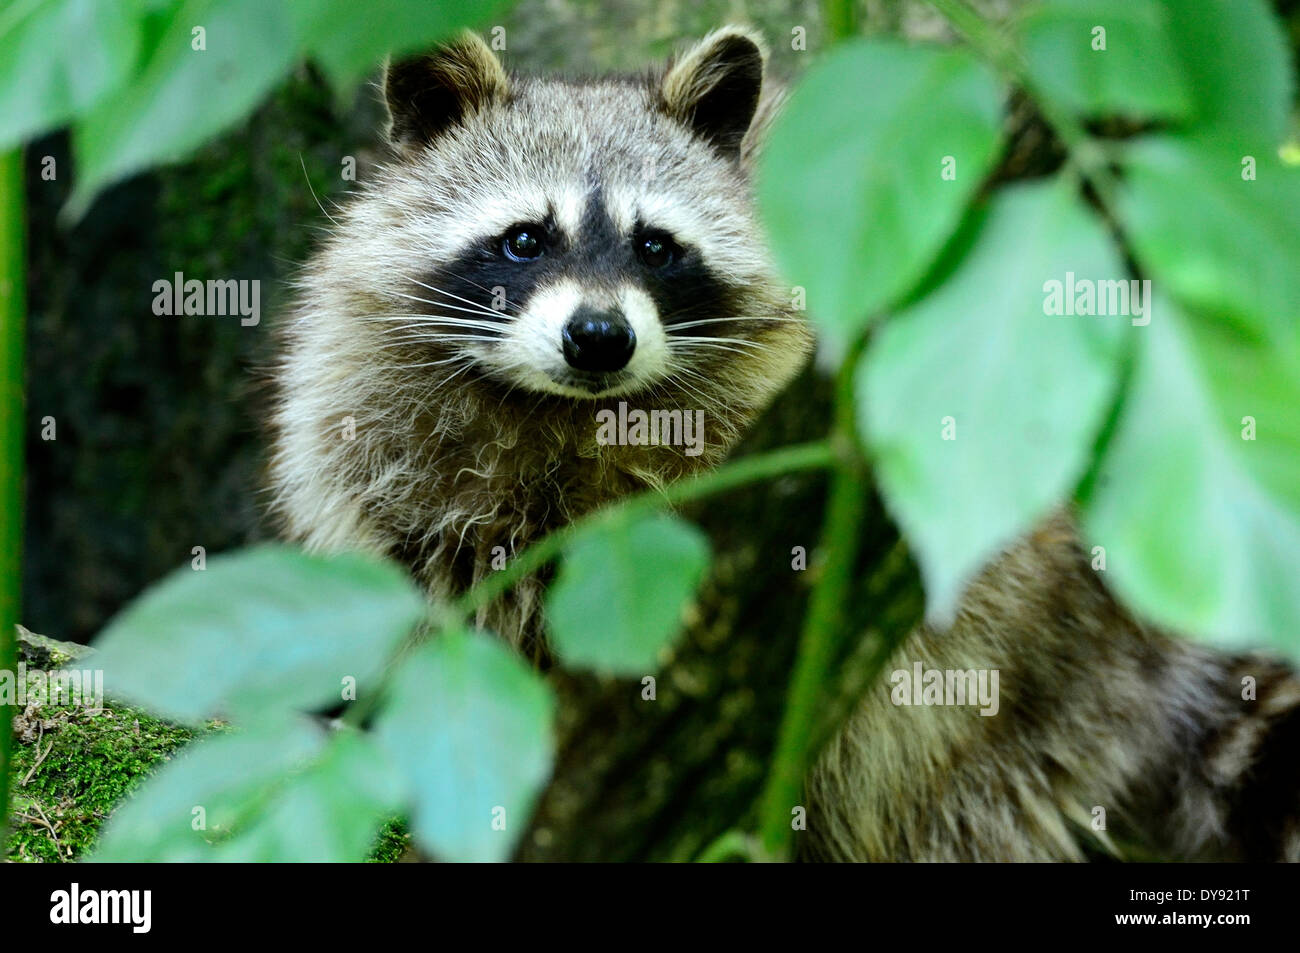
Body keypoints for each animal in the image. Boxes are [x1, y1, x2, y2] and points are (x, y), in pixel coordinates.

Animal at [269, 27, 1294, 863]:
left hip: (1021, 668)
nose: (599, 338)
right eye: (525, 239)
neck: (573, 411)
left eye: (655, 246)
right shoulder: (373, 422)